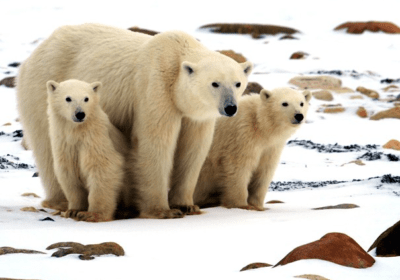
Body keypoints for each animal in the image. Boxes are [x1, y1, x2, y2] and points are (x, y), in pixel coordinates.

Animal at [46, 79, 128, 221]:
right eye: (68, 98)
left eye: (86, 98)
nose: (80, 114)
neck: (76, 132)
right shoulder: (64, 145)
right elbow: (69, 174)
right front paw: (73, 210)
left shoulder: (95, 139)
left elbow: (102, 168)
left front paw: (91, 214)